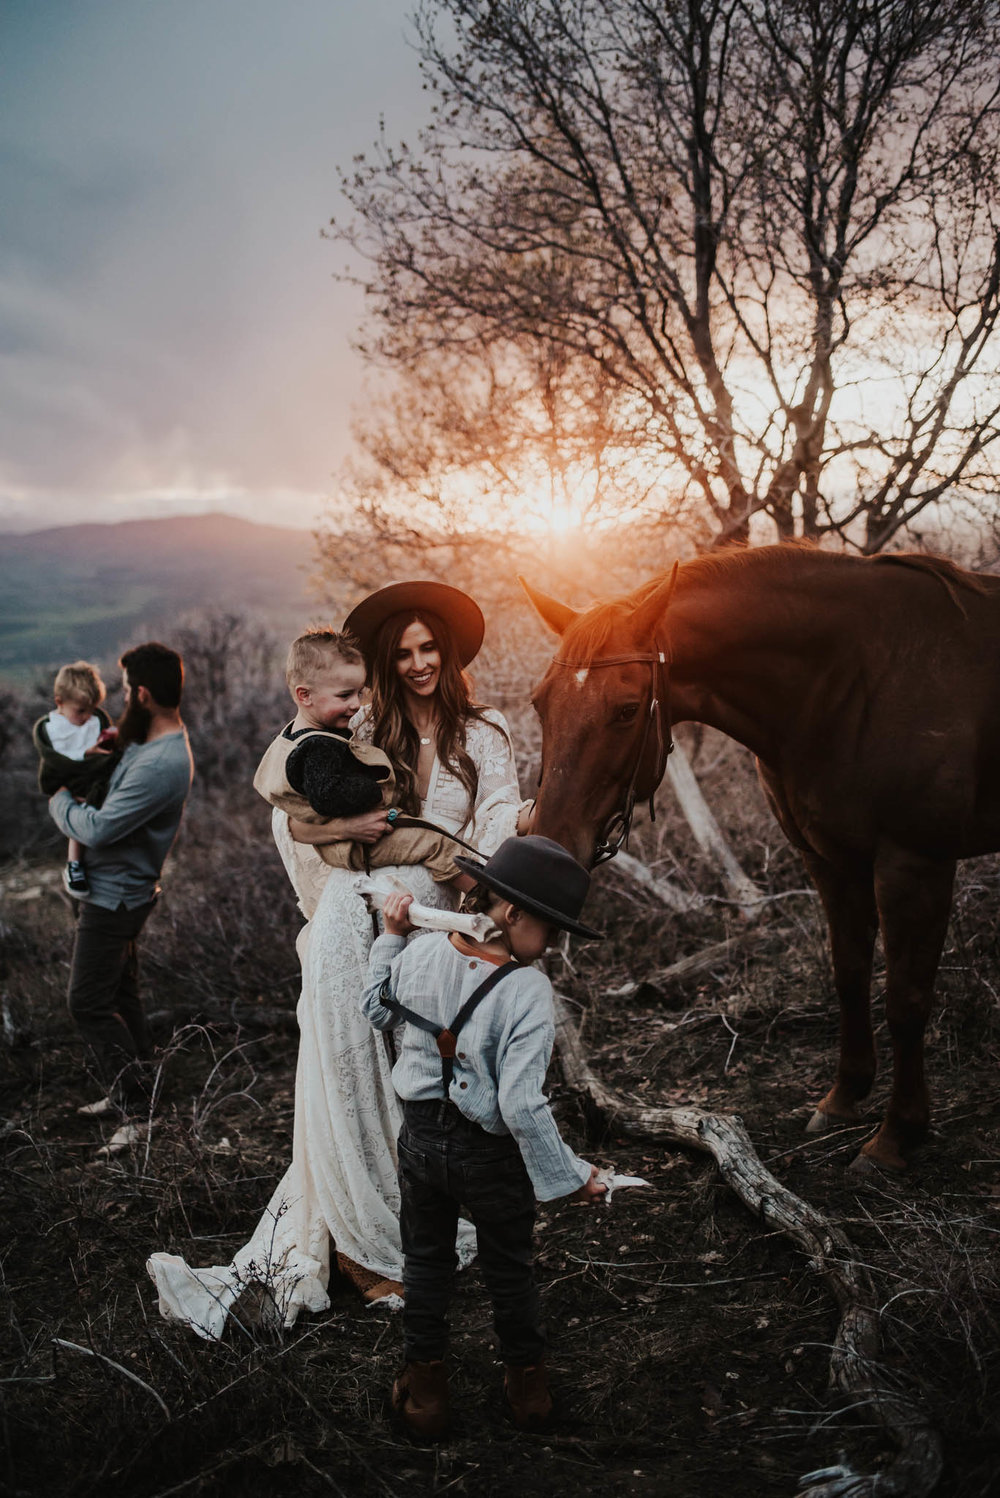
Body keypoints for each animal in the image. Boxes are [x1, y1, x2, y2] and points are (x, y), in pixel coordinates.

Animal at [520, 545, 999, 1174]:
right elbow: (848, 973)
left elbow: (906, 999)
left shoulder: (915, 865)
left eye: (626, 710)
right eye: (539, 702)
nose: (546, 846)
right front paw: (843, 1097)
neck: (856, 682)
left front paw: (897, 1134)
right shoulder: (830, 860)